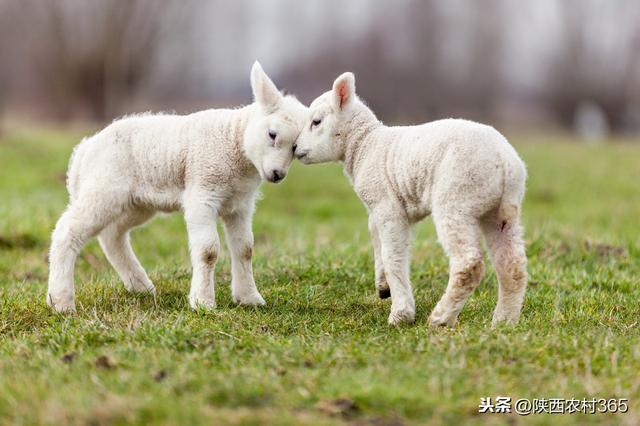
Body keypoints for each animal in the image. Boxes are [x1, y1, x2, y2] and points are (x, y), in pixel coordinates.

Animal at [46, 60, 306, 312]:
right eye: (272, 134)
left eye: (295, 148)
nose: (277, 174)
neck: (234, 141)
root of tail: (83, 151)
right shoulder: (202, 193)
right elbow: (208, 251)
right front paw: (202, 303)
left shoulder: (240, 204)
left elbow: (245, 249)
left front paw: (249, 298)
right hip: (104, 188)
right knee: (67, 231)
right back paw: (61, 301)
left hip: (136, 203)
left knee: (112, 236)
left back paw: (141, 287)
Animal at [294, 72, 524, 326]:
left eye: (316, 122)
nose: (294, 147)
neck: (365, 145)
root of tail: (506, 162)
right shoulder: (377, 208)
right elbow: (376, 240)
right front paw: (383, 286)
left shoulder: (388, 207)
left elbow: (392, 255)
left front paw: (401, 313)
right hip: (497, 212)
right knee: (512, 265)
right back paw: (504, 322)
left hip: (457, 199)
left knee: (469, 264)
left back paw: (440, 318)